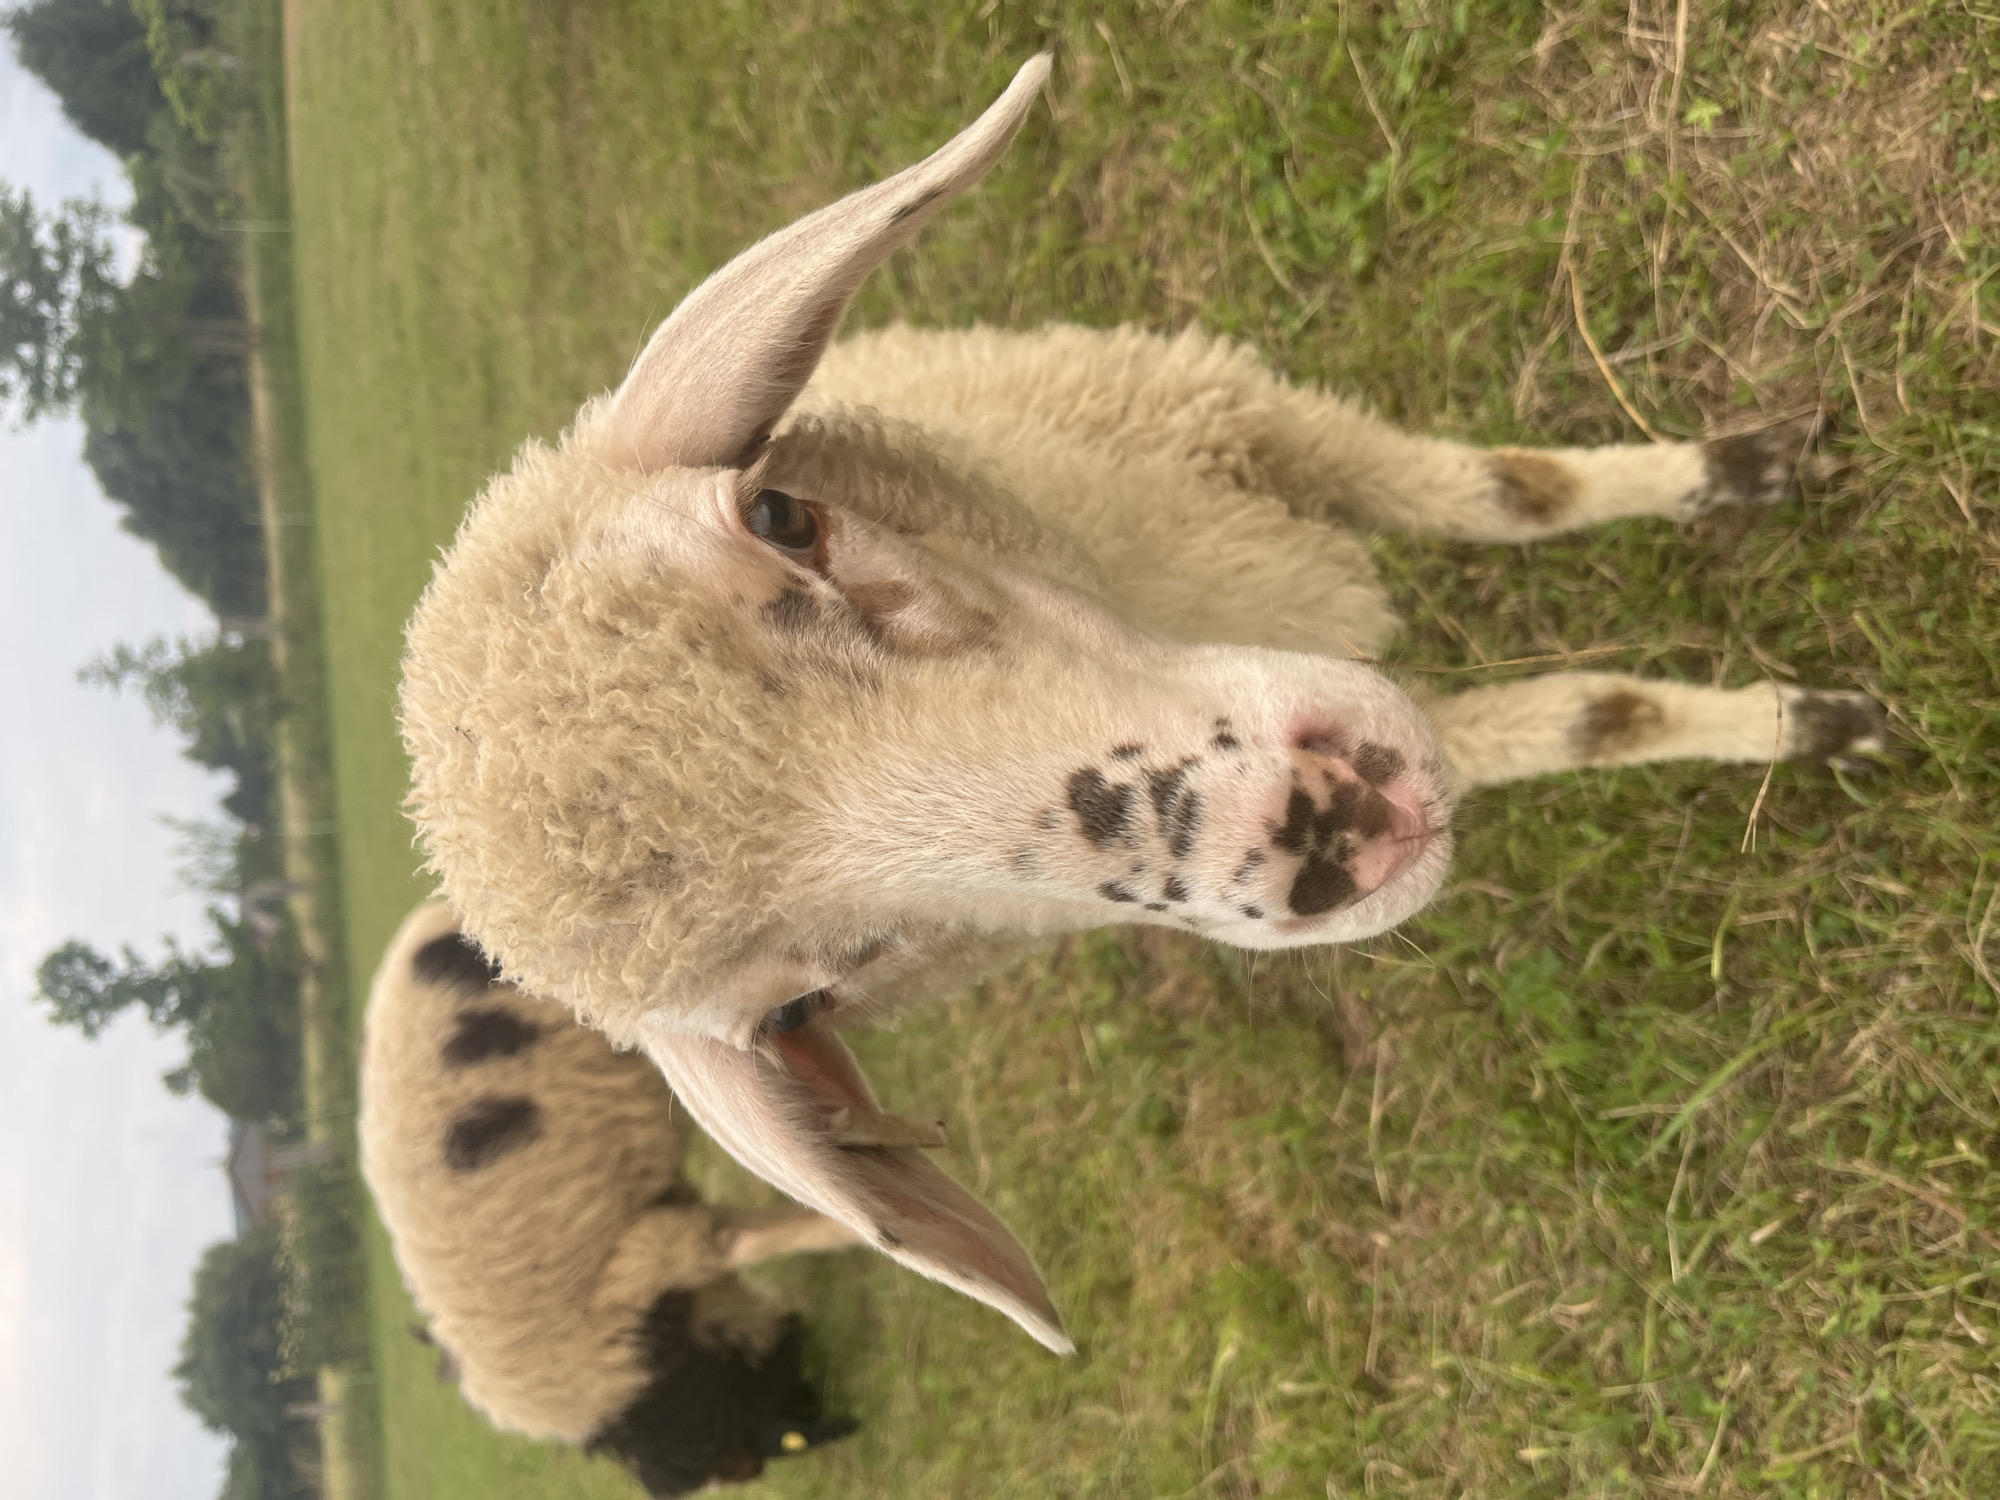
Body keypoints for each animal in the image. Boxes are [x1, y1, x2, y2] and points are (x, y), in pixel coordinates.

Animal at [398, 54, 1890, 1354]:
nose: (1321, 834)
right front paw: (1797, 723)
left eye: (783, 515)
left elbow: (1515, 494)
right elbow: (1587, 721)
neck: (1148, 576)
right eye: (805, 1009)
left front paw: (1736, 475)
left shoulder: (1242, 418)